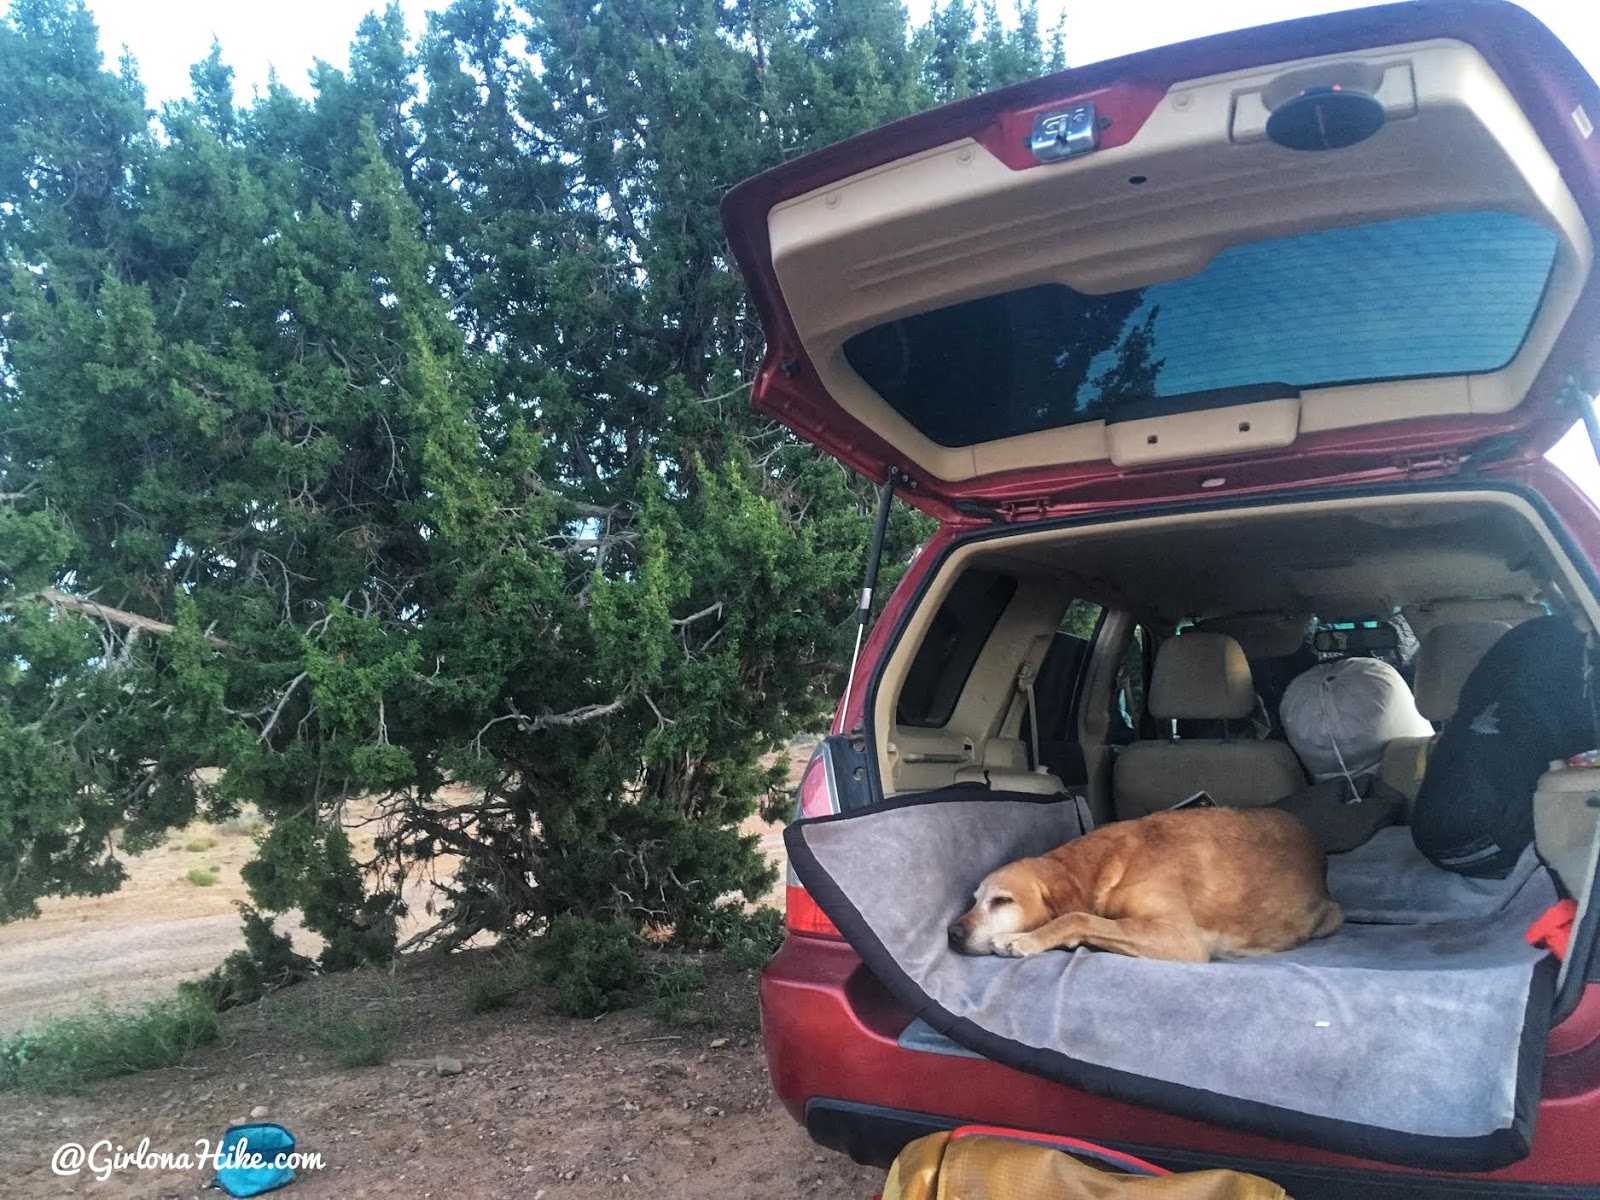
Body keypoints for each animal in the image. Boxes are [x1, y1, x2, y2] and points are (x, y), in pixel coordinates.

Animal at [940, 809, 1344, 966]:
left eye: (1002, 901)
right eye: (974, 899)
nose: (952, 933)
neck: (1106, 862)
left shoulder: (1181, 940)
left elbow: (1077, 917)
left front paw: (1023, 939)